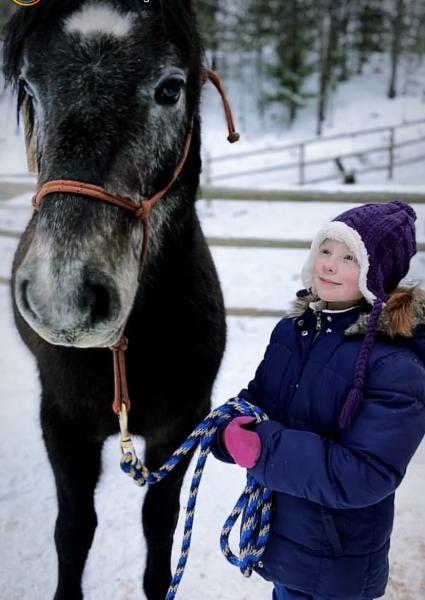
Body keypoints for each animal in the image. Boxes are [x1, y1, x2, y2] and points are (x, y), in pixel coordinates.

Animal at [2, 2, 229, 596]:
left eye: (171, 89)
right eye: (30, 87)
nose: (65, 298)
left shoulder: (181, 426)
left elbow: (160, 528)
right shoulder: (62, 424)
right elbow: (73, 529)